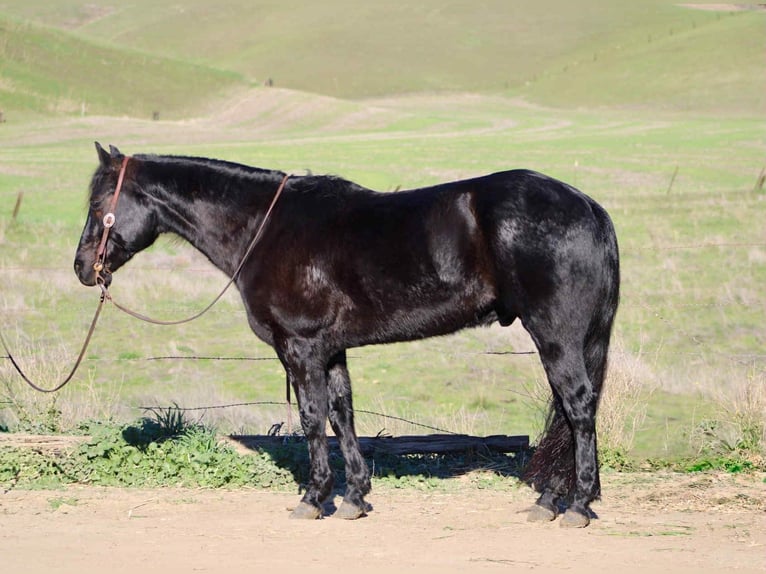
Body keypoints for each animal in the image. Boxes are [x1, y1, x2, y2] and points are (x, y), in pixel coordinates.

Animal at [74, 143, 620, 527]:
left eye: (99, 203)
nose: (82, 267)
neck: (265, 228)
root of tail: (589, 207)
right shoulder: (331, 349)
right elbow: (342, 415)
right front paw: (356, 497)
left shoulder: (300, 347)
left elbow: (313, 420)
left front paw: (314, 498)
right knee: (567, 413)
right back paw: (551, 499)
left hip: (556, 336)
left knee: (577, 407)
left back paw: (576, 505)